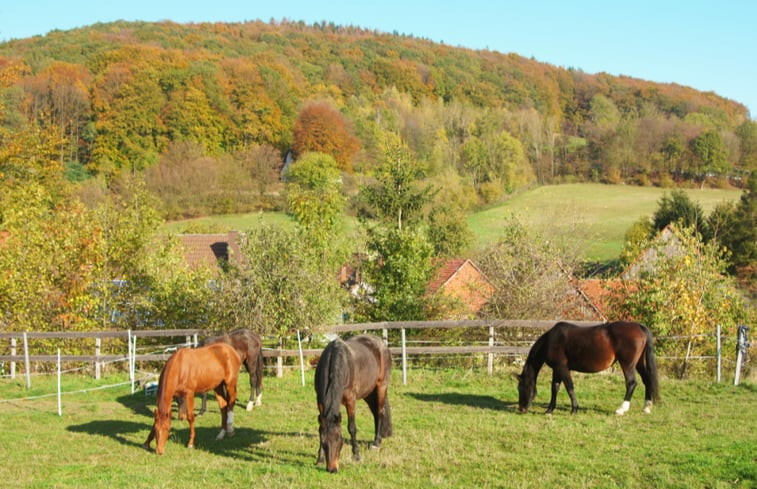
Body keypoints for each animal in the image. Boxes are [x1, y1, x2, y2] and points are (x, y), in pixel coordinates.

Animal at [316, 334, 392, 470]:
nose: (332, 469)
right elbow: (320, 428)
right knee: (375, 413)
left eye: (339, 440)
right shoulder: (320, 402)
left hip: (381, 386)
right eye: (324, 442)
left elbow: (352, 428)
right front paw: (320, 458)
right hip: (368, 393)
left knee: (380, 412)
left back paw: (376, 443)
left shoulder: (351, 401)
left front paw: (356, 455)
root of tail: (381, 344)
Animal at [516, 320, 660, 416]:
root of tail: (639, 327)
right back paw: (646, 407)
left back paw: (622, 409)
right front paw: (549, 410)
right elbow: (555, 388)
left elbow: (569, 387)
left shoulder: (562, 368)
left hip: (627, 364)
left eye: (521, 388)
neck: (550, 341)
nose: (521, 409)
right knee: (647, 380)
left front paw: (574, 409)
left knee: (631, 383)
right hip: (639, 363)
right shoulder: (557, 369)